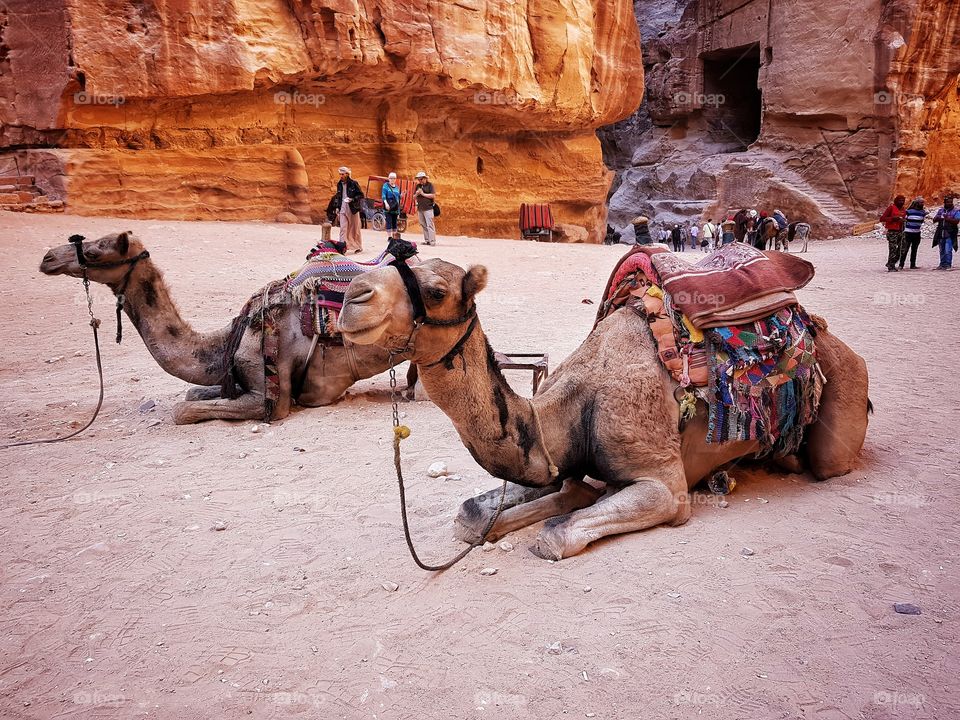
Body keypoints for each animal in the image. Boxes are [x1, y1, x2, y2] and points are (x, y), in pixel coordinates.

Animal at [338, 258, 870, 560]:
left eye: (436, 291)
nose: (351, 296)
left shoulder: (664, 485)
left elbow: (555, 535)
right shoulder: (561, 462)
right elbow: (475, 516)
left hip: (845, 380)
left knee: (829, 459)